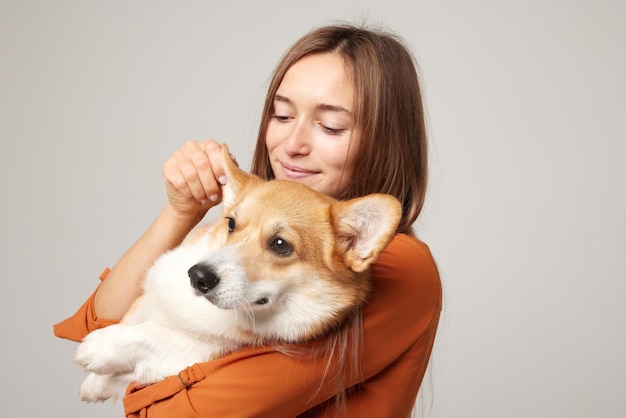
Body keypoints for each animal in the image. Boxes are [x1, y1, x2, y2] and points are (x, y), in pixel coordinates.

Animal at [74, 143, 400, 402]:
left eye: (280, 245)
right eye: (231, 224)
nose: (198, 276)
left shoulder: (200, 351)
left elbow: (149, 335)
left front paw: (101, 349)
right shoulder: (149, 295)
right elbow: (134, 319)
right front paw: (96, 382)